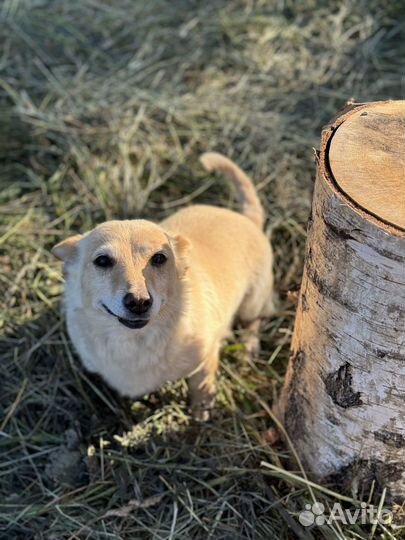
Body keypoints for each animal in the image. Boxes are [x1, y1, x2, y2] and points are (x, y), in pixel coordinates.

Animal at [52, 154, 274, 420]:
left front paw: (201, 411)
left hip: (252, 301)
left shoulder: (206, 355)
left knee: (255, 320)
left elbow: (201, 384)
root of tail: (247, 219)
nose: (139, 302)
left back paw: (248, 348)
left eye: (159, 258)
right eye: (102, 261)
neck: (133, 342)